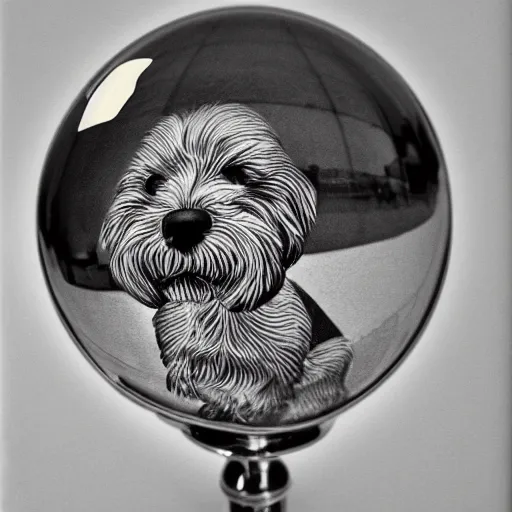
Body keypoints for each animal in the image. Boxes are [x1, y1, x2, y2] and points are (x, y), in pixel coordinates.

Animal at [102, 104, 354, 424]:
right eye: (153, 183)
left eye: (236, 174)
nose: (183, 225)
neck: (212, 308)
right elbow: (217, 392)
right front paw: (220, 409)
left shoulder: (277, 374)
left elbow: (267, 398)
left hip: (332, 356)